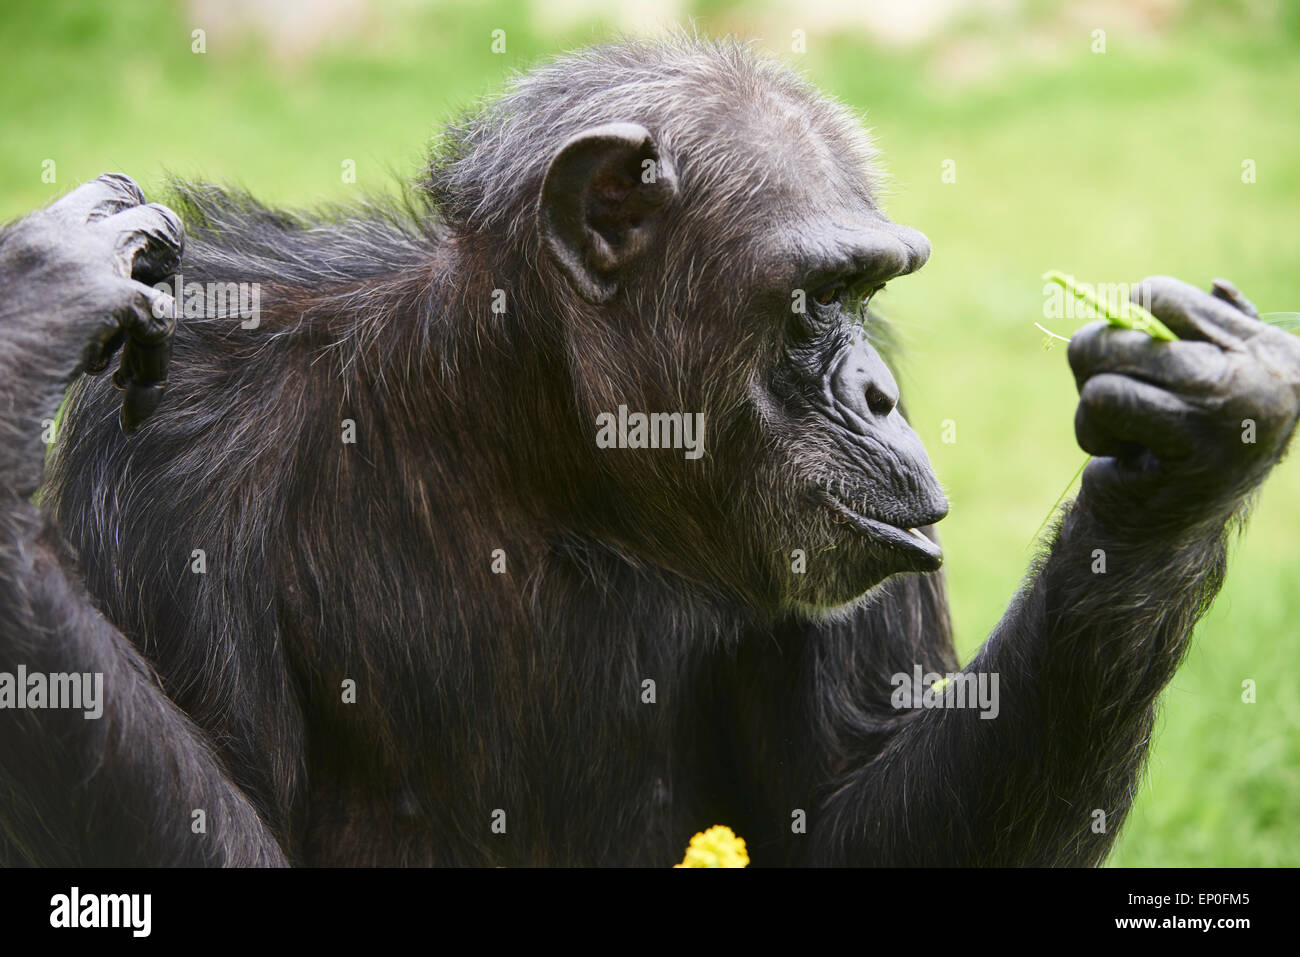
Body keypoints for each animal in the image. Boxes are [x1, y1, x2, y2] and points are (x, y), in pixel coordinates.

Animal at [0, 37, 1294, 863]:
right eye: (816, 296)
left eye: (867, 296)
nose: (876, 394)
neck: (529, 440)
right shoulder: (181, 437)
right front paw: (32, 331)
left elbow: (843, 828)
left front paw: (1188, 461)